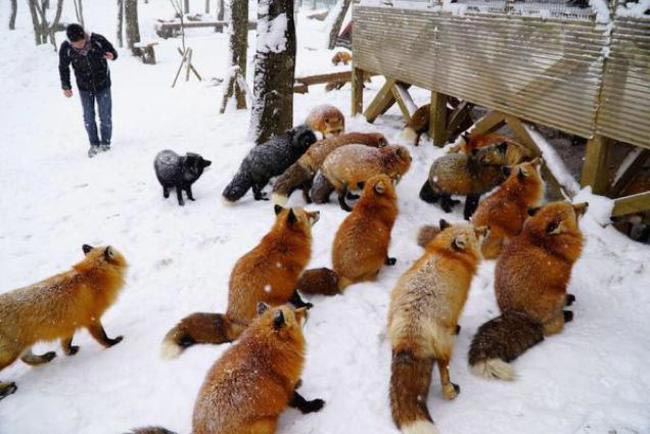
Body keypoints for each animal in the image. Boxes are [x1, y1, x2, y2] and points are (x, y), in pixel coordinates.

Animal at [0, 244, 127, 401]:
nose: (85, 245)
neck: (91, 279)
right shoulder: (92, 320)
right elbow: (102, 337)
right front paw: (113, 343)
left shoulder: (70, 324)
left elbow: (66, 343)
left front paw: (69, 352)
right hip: (10, 353)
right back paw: (6, 389)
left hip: (23, 345)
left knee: (27, 358)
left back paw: (45, 358)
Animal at [130, 304, 324, 434]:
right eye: (296, 315)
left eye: (294, 309)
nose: (307, 308)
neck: (266, 349)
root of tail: (197, 431)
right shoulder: (283, 388)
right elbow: (300, 401)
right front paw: (313, 406)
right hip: (265, 423)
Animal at [161, 206, 319, 359]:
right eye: (307, 214)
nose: (318, 211)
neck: (283, 243)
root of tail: (229, 320)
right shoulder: (290, 283)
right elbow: (297, 298)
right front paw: (306, 305)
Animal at [388, 221, 488, 434]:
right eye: (476, 232)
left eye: (474, 226)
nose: (487, 228)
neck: (447, 252)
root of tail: (411, 330)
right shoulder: (458, 306)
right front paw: (458, 327)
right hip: (445, 346)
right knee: (444, 373)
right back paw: (450, 391)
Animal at [469, 201, 587, 381]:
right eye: (574, 209)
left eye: (572, 205)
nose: (587, 203)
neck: (539, 239)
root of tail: (517, 314)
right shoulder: (561, 282)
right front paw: (568, 303)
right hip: (554, 297)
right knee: (549, 328)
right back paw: (567, 315)